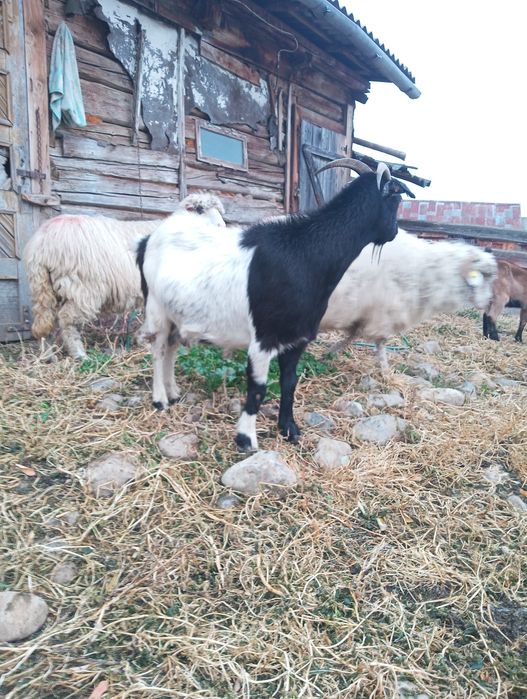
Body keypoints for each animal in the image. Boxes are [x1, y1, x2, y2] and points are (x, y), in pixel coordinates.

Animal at [23, 193, 225, 359]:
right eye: (200, 210)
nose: (222, 227)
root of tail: (43, 243)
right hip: (83, 288)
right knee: (67, 320)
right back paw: (80, 355)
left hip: (43, 285)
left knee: (44, 319)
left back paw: (48, 356)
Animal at [137, 159, 411, 451]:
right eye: (396, 200)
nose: (394, 232)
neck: (305, 255)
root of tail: (148, 239)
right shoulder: (263, 338)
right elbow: (258, 388)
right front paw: (246, 439)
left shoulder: (297, 338)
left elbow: (289, 382)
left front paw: (289, 428)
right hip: (155, 307)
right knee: (158, 349)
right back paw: (160, 399)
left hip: (177, 312)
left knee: (171, 347)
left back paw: (173, 392)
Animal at [320, 230, 497, 371]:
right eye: (482, 277)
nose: (487, 302)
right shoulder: (383, 315)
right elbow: (378, 343)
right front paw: (386, 372)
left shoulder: (369, 316)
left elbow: (355, 335)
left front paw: (331, 351)